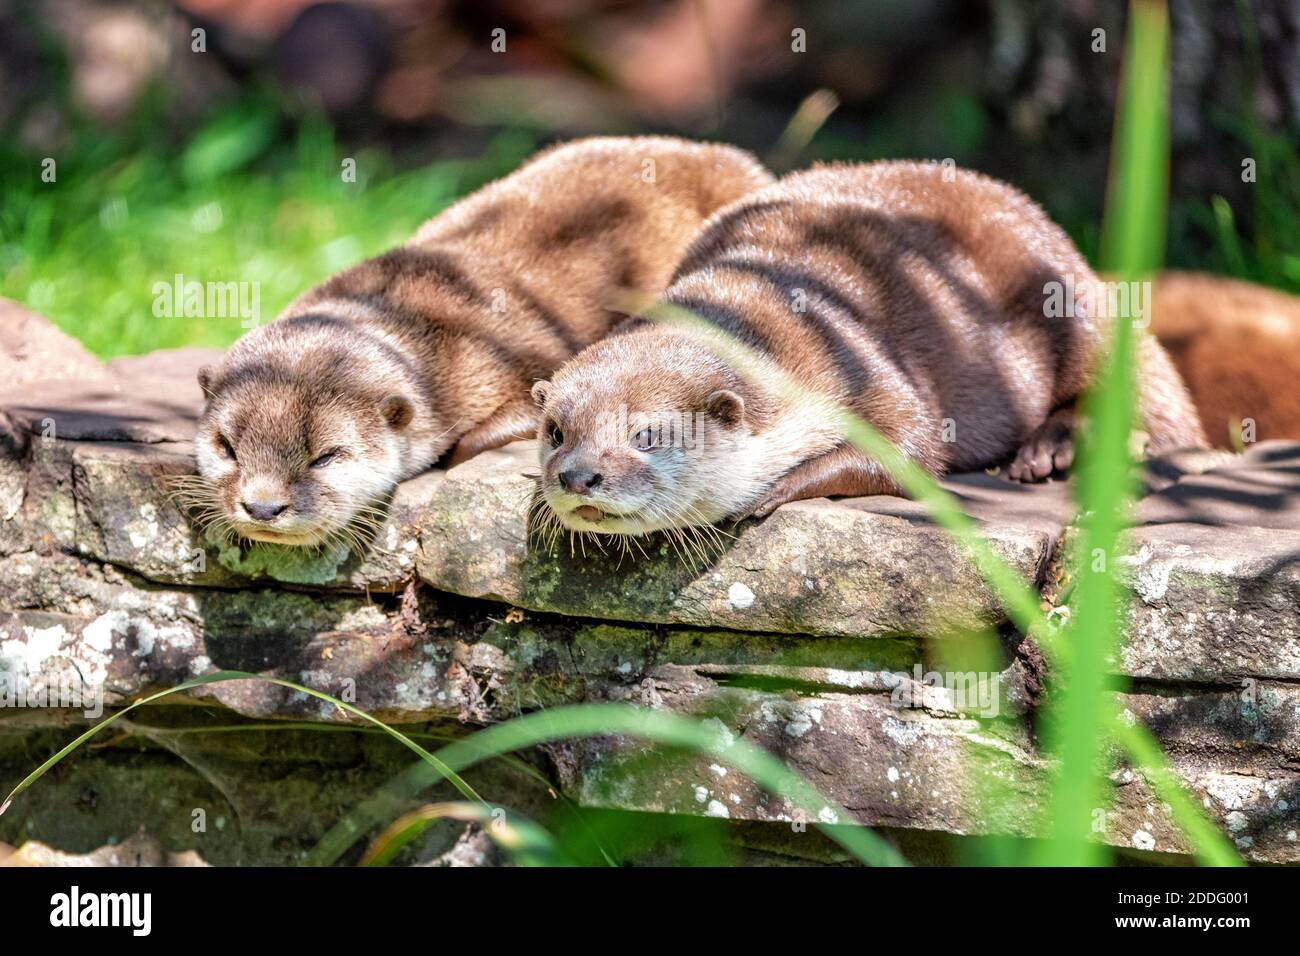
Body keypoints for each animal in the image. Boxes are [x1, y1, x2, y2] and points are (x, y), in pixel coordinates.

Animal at [533, 162, 1201, 538]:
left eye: (646, 435)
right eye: (556, 431)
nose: (577, 476)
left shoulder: (853, 359)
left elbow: (912, 447)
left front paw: (777, 489)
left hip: (1065, 303)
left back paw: (1049, 449)